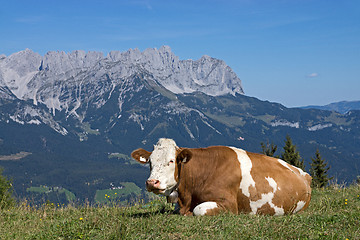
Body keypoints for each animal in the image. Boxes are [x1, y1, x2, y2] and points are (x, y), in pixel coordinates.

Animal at [131, 138, 310, 217]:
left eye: (171, 161)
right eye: (150, 161)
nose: (152, 182)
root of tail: (304, 174)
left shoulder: (229, 205)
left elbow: (199, 209)